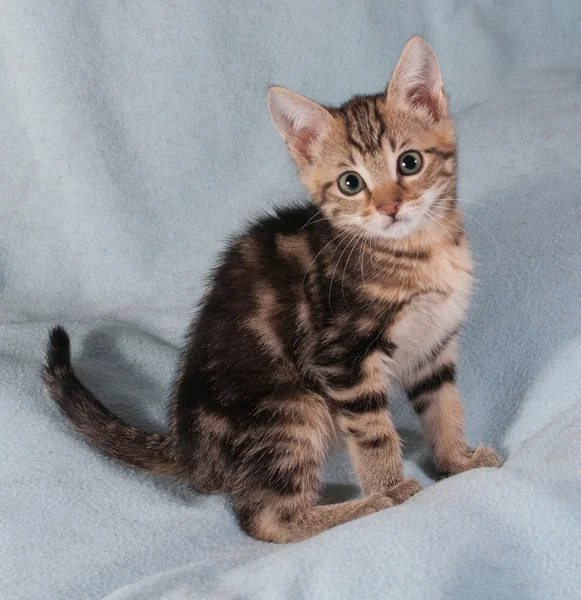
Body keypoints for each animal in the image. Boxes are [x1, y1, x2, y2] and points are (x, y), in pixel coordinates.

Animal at [44, 36, 498, 544]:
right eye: (351, 183)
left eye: (410, 162)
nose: (390, 207)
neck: (418, 251)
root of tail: (188, 446)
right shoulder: (342, 357)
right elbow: (374, 432)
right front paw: (394, 488)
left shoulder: (433, 347)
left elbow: (444, 405)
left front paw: (458, 461)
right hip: (291, 409)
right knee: (264, 519)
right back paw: (358, 507)